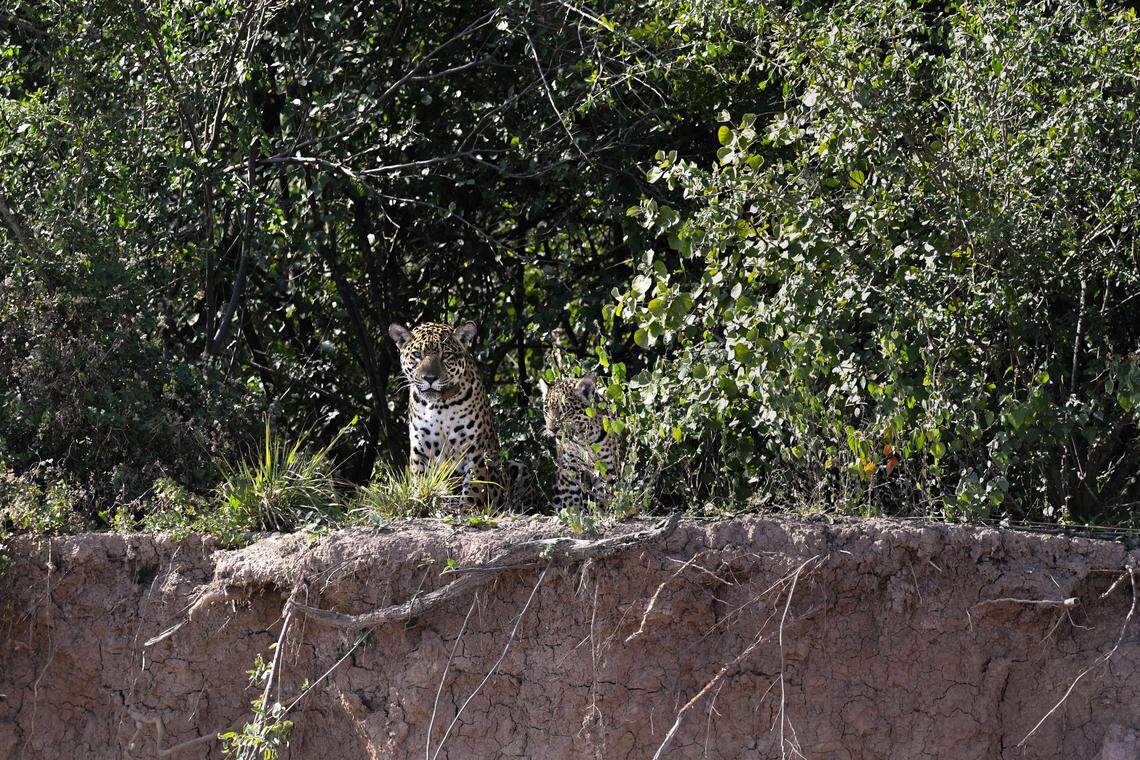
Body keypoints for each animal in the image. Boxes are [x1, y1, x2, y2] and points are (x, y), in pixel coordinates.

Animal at [539, 374, 622, 511]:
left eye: (564, 409)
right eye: (546, 409)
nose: (552, 429)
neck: (583, 438)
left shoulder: (607, 467)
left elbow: (606, 496)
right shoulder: (569, 469)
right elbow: (571, 499)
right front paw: (574, 513)